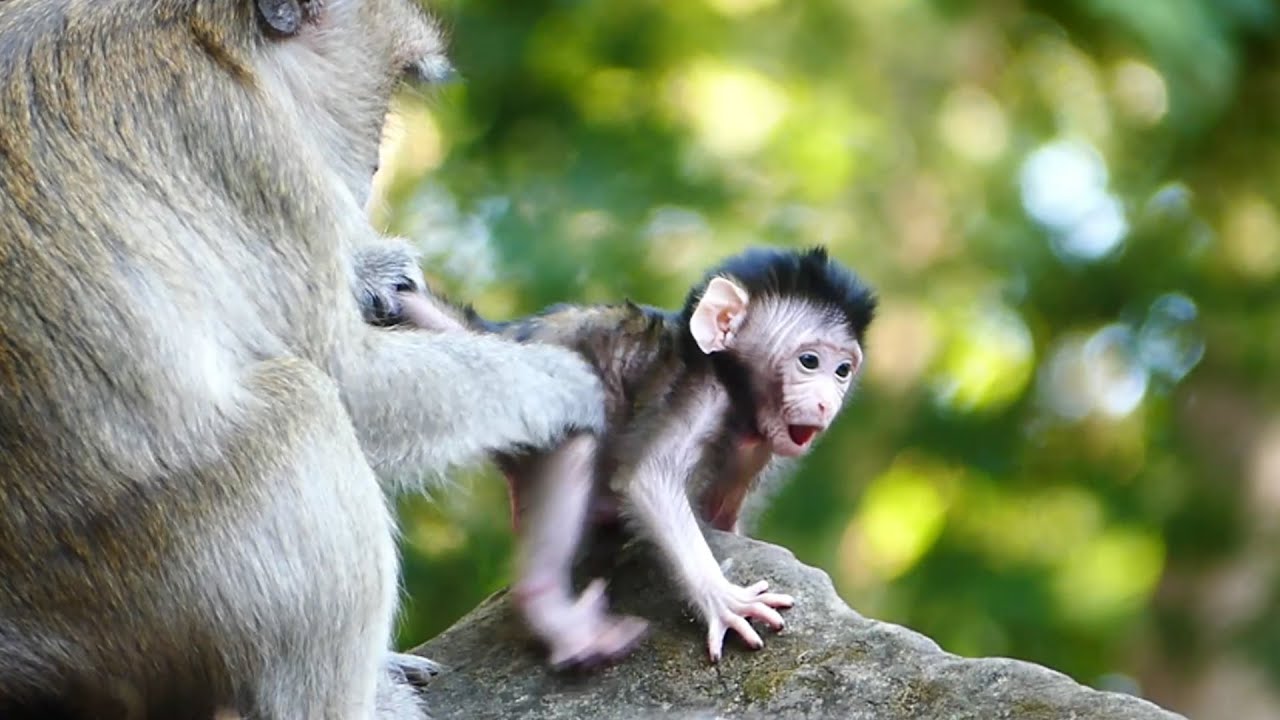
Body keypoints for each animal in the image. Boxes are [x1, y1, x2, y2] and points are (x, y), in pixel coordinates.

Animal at [0, 0, 636, 717]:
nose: (376, 168)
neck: (214, 44)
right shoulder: (251, 155)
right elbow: (351, 380)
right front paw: (571, 383)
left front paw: (375, 272)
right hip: (137, 590)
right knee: (302, 410)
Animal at [391, 245, 877, 662]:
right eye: (809, 361)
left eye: (842, 370)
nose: (826, 402)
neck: (736, 391)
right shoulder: (699, 393)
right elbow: (650, 480)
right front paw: (723, 598)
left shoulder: (755, 449)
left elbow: (722, 515)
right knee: (575, 436)